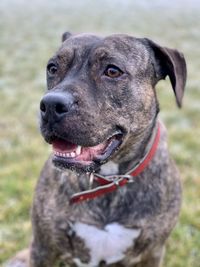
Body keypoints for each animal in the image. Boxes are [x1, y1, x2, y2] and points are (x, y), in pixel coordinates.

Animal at [5, 33, 187, 267]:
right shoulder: (42, 248)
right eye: (52, 68)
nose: (51, 104)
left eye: (112, 71)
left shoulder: (152, 253)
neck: (110, 178)